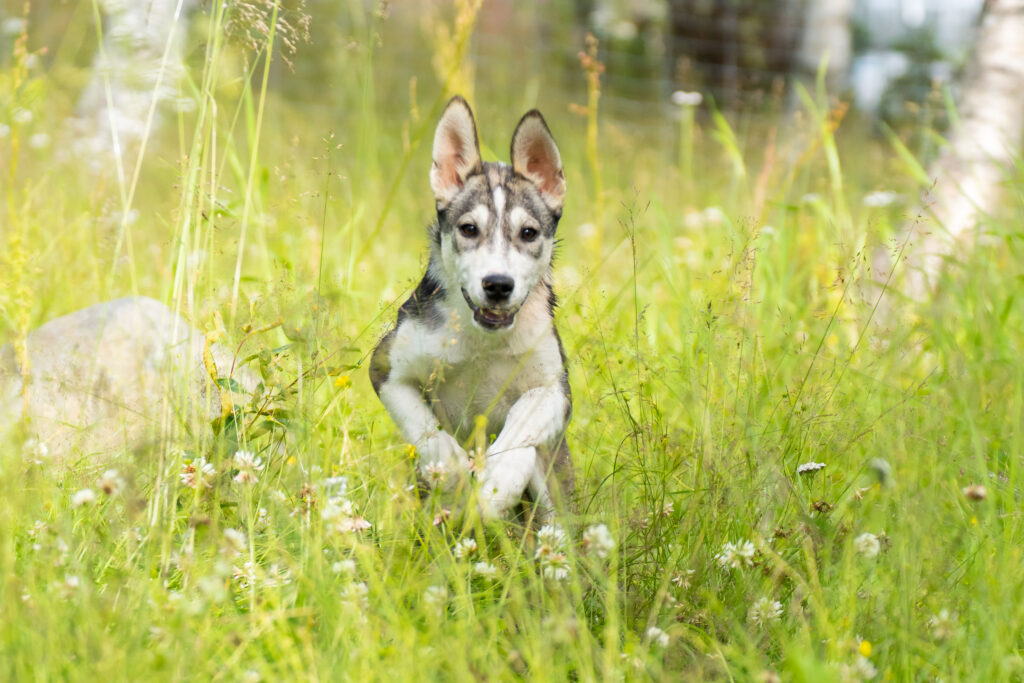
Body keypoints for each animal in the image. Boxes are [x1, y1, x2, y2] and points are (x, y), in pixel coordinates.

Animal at [372, 96, 573, 520]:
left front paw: (496, 487)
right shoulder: (386, 369)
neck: (483, 341)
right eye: (468, 229)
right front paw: (455, 480)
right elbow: (430, 434)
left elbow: (520, 427)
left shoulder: (556, 389)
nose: (497, 285)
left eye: (528, 232)